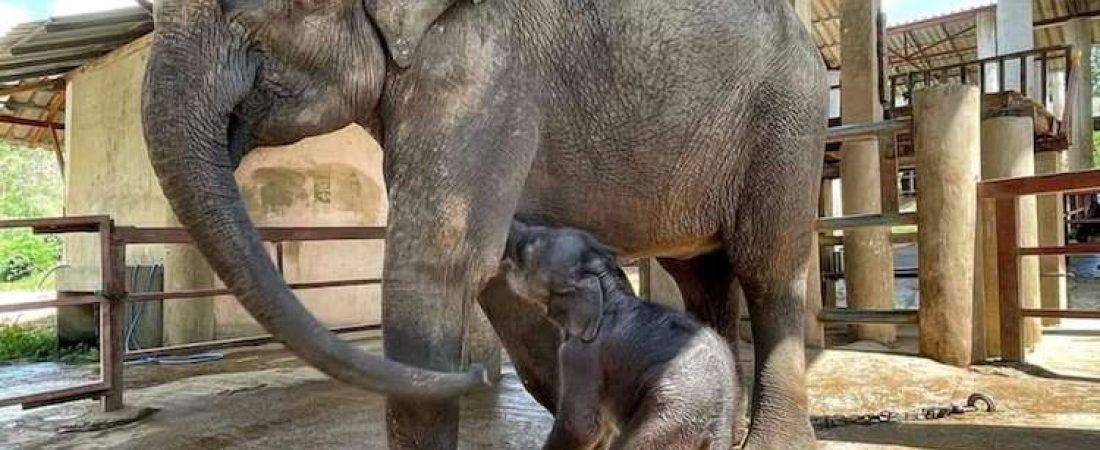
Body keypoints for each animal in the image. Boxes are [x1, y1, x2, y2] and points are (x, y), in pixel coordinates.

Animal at [502, 220, 738, 450]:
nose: (512, 221)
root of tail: (718, 428)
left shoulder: (583, 356)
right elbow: (603, 429)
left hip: (668, 416)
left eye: (528, 250)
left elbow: (581, 427)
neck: (608, 289)